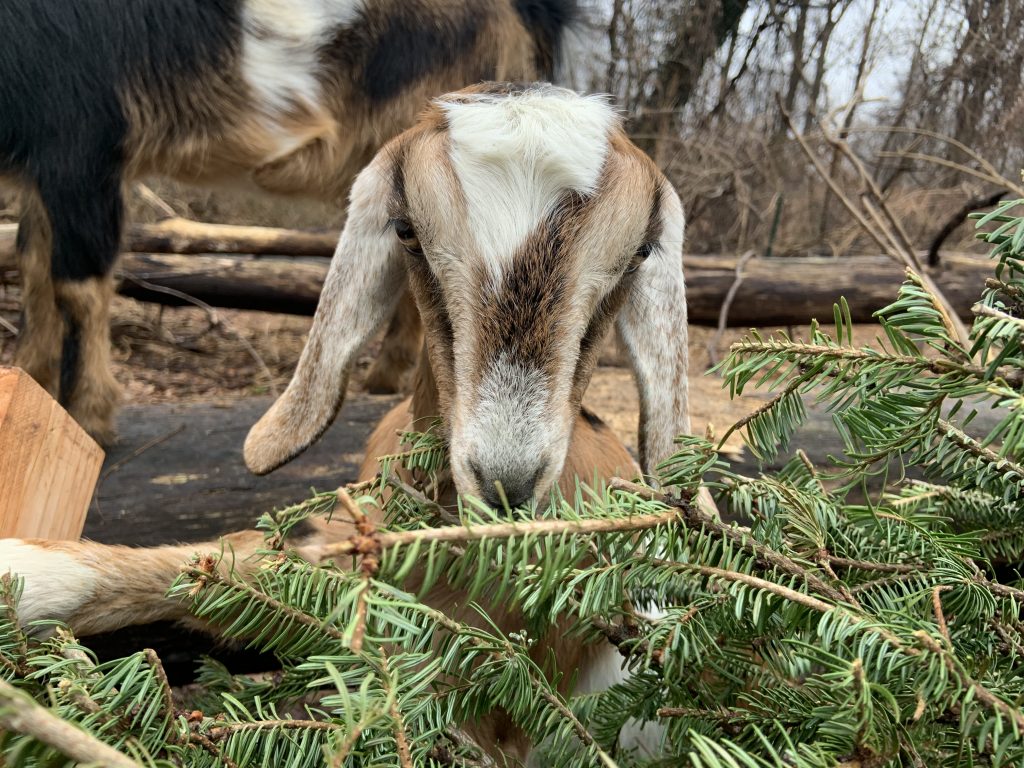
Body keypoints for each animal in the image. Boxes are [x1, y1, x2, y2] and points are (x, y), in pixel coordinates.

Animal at [0, 0, 579, 445]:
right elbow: (33, 264)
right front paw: (29, 380)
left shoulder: (82, 145)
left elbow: (76, 285)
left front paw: (86, 416)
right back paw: (385, 379)